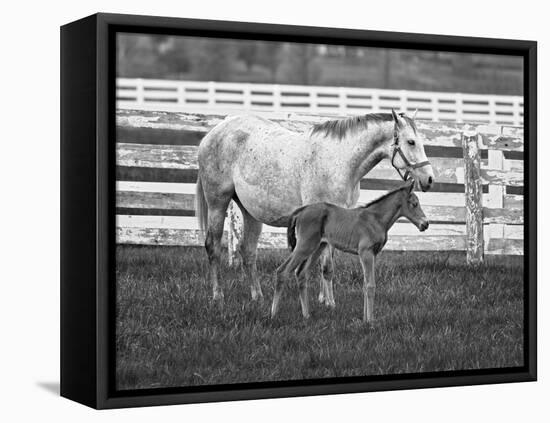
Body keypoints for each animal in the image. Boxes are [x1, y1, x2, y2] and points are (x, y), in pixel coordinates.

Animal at [196, 111, 434, 306]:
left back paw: (258, 296)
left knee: (248, 251)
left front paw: (323, 298)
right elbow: (326, 266)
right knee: (213, 246)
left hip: (250, 212)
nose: (429, 179)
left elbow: (327, 265)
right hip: (217, 203)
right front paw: (330, 303)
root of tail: (215, 131)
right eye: (411, 142)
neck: (340, 161)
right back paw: (218, 296)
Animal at [272, 181, 432, 322]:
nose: (425, 224)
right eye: (414, 204)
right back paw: (273, 314)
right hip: (305, 246)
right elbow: (370, 285)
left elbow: (365, 284)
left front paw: (365, 318)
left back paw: (306, 315)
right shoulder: (365, 253)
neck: (376, 219)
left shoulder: (373, 254)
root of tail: (300, 211)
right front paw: (370, 322)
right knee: (282, 271)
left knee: (301, 273)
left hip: (318, 247)